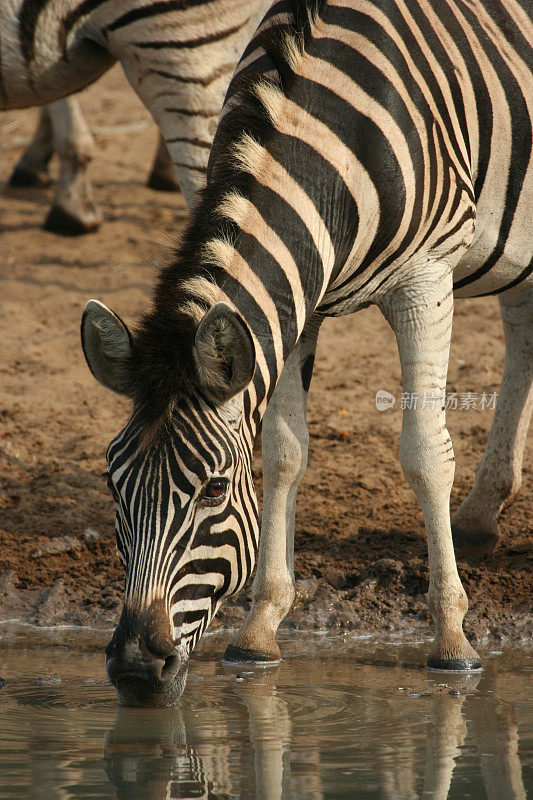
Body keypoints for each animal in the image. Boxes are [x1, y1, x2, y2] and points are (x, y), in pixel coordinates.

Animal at [79, 0, 528, 704]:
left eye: (212, 491)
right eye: (111, 482)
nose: (135, 669)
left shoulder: (427, 277)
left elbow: (426, 454)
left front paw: (453, 641)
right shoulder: (296, 302)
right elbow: (285, 452)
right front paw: (260, 629)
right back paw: (483, 513)